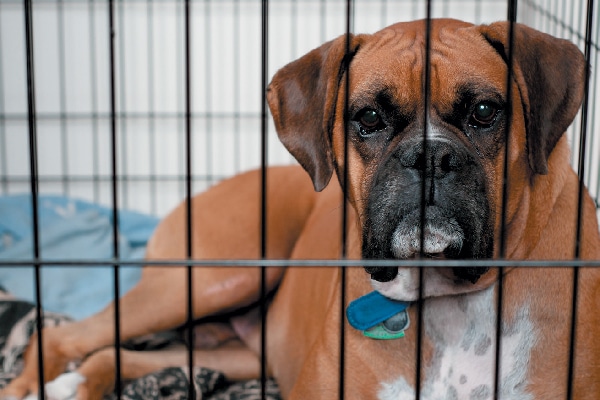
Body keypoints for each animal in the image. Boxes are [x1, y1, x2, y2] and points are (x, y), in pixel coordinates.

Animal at [1, 18, 600, 400]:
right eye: (368, 118)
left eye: (483, 112)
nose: (429, 155)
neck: (448, 302)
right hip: (212, 277)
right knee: (65, 335)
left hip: (243, 350)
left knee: (120, 354)